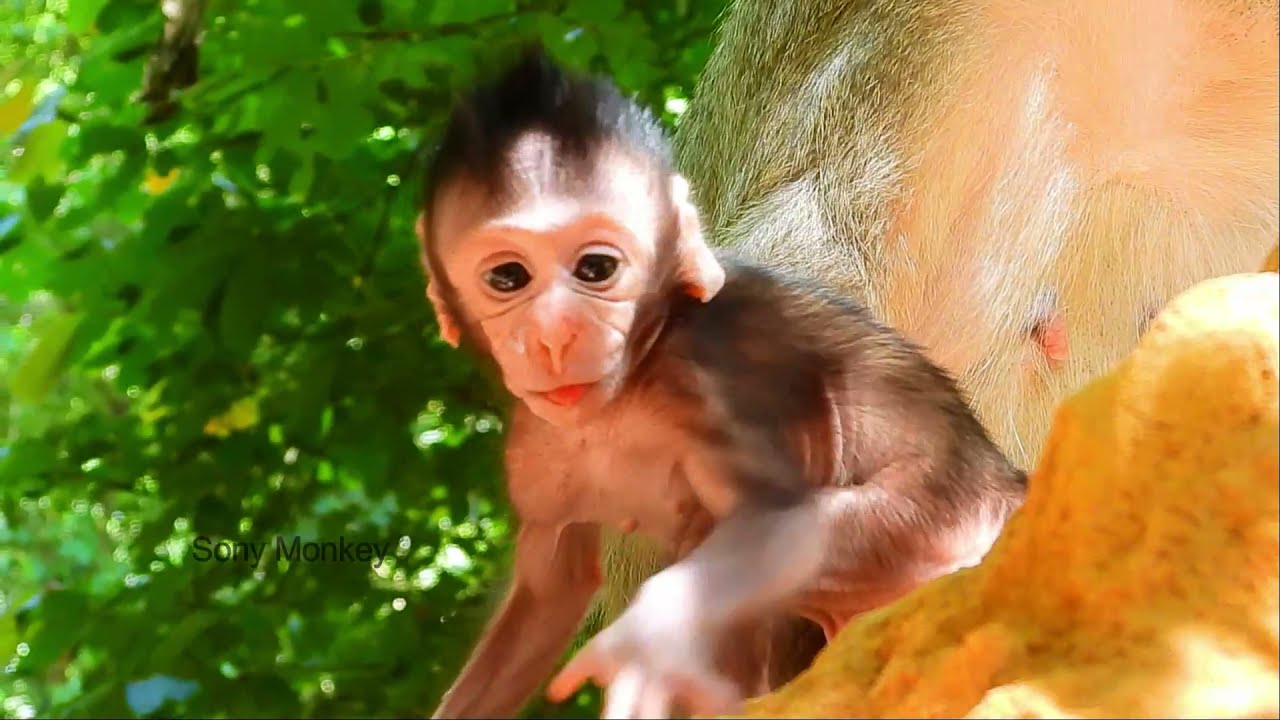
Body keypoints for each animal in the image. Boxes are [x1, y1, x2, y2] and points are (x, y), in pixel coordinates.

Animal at [415, 48, 1027, 719]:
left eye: (596, 268)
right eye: (507, 278)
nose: (556, 333)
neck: (625, 393)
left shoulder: (707, 373)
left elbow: (775, 517)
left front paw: (648, 640)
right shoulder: (537, 442)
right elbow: (550, 591)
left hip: (950, 527)